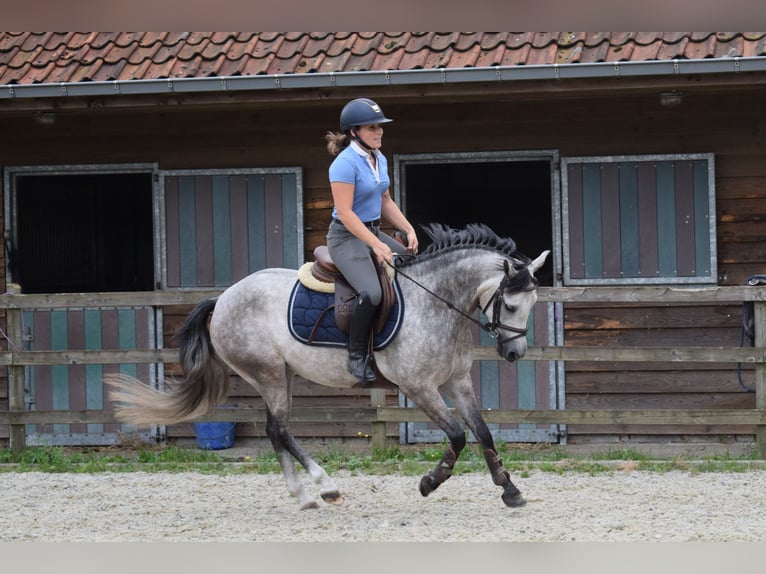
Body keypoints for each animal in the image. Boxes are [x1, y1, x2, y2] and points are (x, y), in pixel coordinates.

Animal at [108, 223, 552, 510]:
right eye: (510, 304)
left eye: (531, 304)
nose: (515, 354)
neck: (437, 300)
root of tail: (224, 298)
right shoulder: (419, 387)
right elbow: (458, 436)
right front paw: (429, 482)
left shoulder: (457, 381)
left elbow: (484, 433)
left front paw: (509, 490)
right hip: (268, 372)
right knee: (279, 429)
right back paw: (323, 488)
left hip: (281, 374)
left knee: (275, 430)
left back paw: (306, 496)